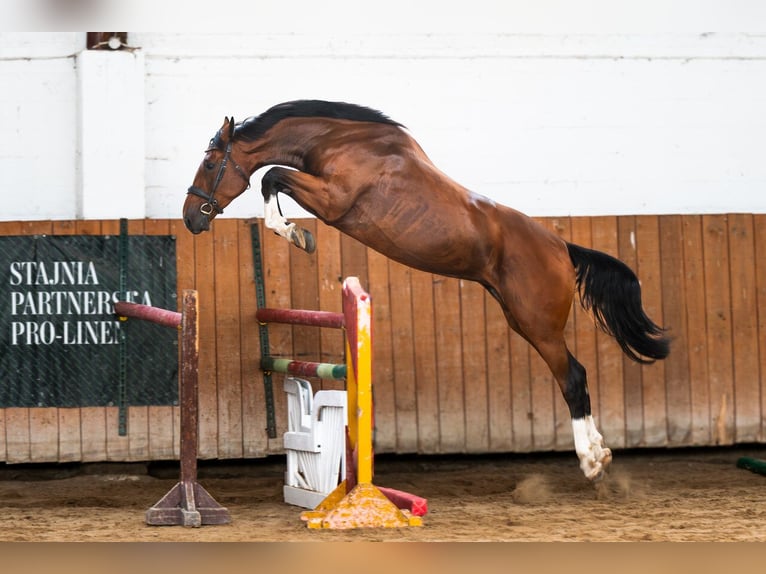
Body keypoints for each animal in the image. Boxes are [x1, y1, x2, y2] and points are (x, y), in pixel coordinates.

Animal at [183, 99, 670, 481]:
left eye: (209, 163)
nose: (190, 217)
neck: (340, 142)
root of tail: (562, 247)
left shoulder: (333, 200)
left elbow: (272, 177)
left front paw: (297, 235)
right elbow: (273, 178)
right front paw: (294, 232)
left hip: (538, 325)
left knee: (573, 377)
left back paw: (592, 461)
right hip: (520, 318)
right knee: (575, 375)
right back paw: (600, 453)